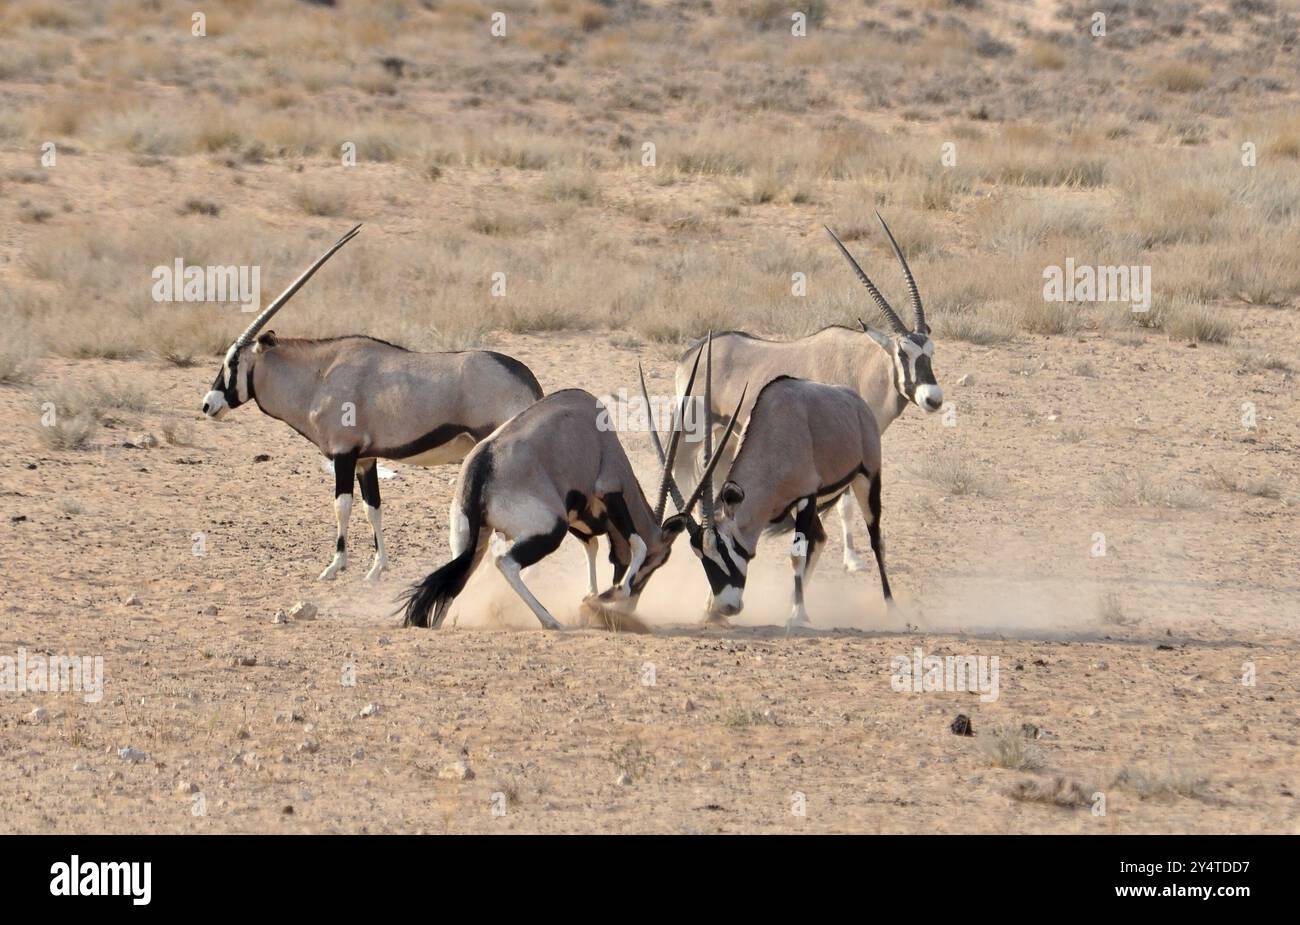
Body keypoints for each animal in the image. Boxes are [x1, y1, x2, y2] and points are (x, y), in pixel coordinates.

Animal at [196, 226, 538, 576]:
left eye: (233, 361)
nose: (208, 405)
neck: (320, 376)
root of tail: (526, 378)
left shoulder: (344, 454)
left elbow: (342, 506)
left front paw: (335, 566)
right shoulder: (365, 459)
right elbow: (371, 507)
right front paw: (377, 568)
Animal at [400, 337, 738, 628]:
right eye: (660, 559)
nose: (630, 608)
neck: (602, 435)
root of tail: (482, 469)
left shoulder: (580, 514)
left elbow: (592, 546)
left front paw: (593, 597)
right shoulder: (608, 489)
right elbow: (636, 543)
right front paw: (611, 594)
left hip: (471, 540)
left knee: (456, 579)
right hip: (550, 529)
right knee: (505, 563)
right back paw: (551, 621)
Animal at [670, 211, 946, 571]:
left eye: (931, 351)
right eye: (902, 353)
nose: (933, 398)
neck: (862, 366)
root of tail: (692, 353)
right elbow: (844, 505)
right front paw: (852, 558)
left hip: (727, 436)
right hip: (693, 431)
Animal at [670, 376, 894, 628]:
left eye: (724, 547)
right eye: (702, 556)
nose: (727, 607)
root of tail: (857, 402)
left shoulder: (806, 497)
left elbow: (796, 555)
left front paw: (797, 616)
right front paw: (710, 612)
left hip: (867, 479)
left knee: (876, 541)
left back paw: (891, 608)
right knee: (820, 537)